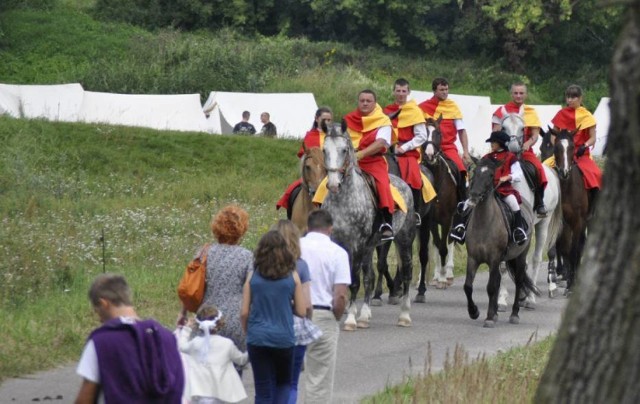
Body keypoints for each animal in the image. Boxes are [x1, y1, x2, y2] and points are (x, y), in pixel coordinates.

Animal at [322, 122, 418, 328]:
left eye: (344, 150)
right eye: (324, 150)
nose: (333, 184)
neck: (344, 199)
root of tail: (403, 184)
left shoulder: (356, 245)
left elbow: (354, 281)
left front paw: (350, 319)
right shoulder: (339, 242)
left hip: (403, 240)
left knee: (407, 273)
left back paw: (404, 315)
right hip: (370, 246)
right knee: (370, 277)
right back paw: (365, 316)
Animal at [462, 158, 536, 328]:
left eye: (490, 175)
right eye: (474, 172)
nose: (474, 195)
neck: (483, 223)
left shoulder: (494, 259)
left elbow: (491, 287)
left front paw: (489, 317)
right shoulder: (473, 258)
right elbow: (468, 286)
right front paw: (474, 311)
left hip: (520, 256)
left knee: (519, 281)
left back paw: (514, 314)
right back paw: (496, 312)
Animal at [498, 109, 564, 308]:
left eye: (522, 128)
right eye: (503, 128)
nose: (512, 147)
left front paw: (523, 296)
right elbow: (503, 264)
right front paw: (501, 299)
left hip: (543, 223)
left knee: (535, 259)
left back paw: (530, 298)